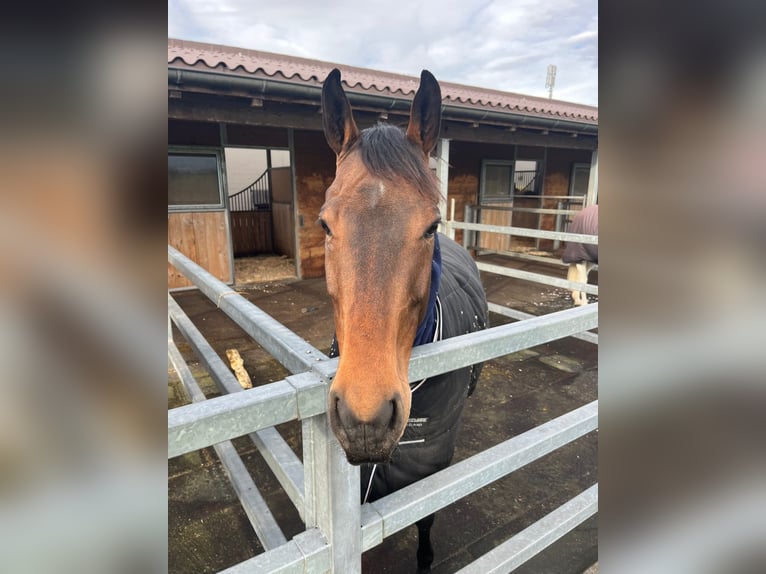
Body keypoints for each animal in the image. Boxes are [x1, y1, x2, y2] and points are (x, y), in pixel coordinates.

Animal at [320, 68, 488, 573]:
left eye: (431, 225)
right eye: (325, 224)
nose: (366, 418)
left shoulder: (428, 469)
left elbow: (426, 520)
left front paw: (425, 559)